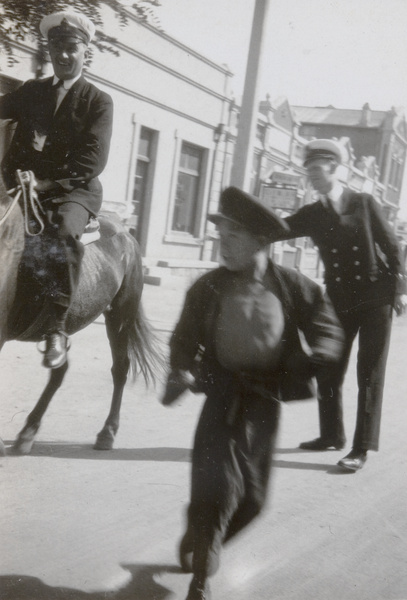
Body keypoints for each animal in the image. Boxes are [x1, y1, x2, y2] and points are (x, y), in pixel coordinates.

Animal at [0, 172, 163, 454]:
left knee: (120, 368)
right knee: (60, 368)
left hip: (120, 315)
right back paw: (28, 431)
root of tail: (127, 235)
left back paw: (107, 432)